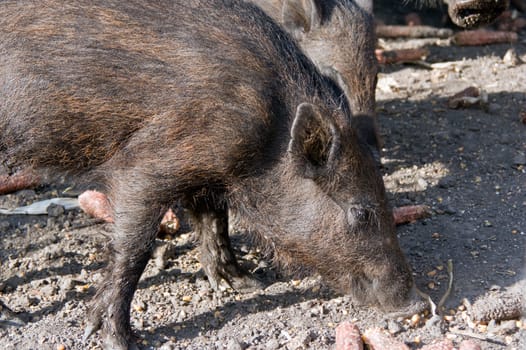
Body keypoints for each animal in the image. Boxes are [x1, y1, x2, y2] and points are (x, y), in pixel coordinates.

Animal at [0, 0, 426, 350]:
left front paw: (247, 283)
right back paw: (14, 318)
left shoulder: (207, 169)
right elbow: (134, 249)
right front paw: (118, 340)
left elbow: (214, 219)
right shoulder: (145, 167)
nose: (415, 304)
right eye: (360, 212)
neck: (269, 136)